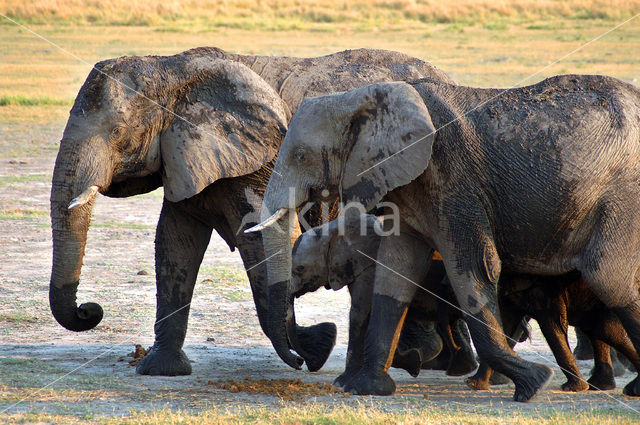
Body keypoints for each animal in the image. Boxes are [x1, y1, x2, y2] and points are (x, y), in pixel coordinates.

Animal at [50, 46, 452, 374]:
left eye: (118, 132)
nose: (90, 310)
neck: (170, 67)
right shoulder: (183, 155)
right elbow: (175, 242)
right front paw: (160, 370)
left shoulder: (259, 161)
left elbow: (258, 243)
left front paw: (313, 350)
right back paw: (420, 357)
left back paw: (418, 356)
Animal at [288, 215, 476, 388]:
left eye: (300, 269)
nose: (301, 361)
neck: (333, 229)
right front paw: (413, 362)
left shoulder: (370, 267)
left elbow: (360, 314)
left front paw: (341, 383)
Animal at [464, 274, 640, 392]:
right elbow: (504, 325)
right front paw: (474, 384)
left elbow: (552, 323)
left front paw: (573, 388)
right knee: (600, 329)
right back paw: (602, 385)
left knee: (604, 329)